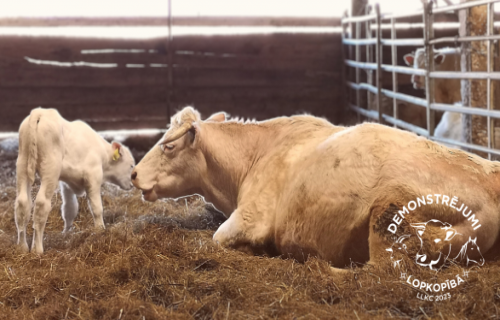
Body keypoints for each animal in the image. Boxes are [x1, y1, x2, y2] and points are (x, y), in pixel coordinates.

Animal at [14, 109, 136, 254]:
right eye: (131, 165)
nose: (132, 185)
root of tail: (40, 112)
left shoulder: (67, 183)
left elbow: (69, 209)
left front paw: (67, 233)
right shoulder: (93, 177)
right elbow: (97, 208)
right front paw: (100, 230)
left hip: (22, 164)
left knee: (23, 204)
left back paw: (22, 247)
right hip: (50, 169)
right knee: (41, 205)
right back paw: (37, 249)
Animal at [132, 107, 500, 272]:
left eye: (168, 146)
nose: (134, 173)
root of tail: (488, 178)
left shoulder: (251, 218)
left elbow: (217, 238)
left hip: (392, 216)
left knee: (377, 273)